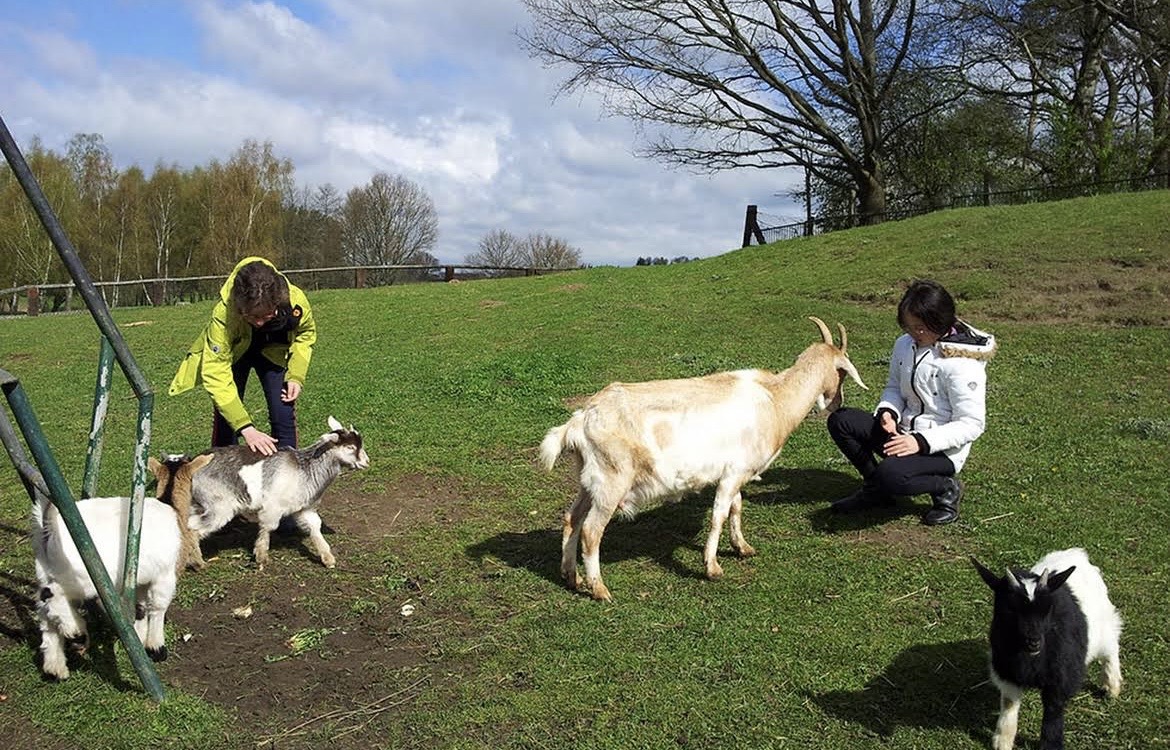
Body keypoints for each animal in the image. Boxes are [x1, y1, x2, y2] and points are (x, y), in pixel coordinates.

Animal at [32, 454, 211, 680]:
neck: (172, 507)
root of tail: (49, 527)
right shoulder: (166, 575)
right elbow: (158, 607)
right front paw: (156, 648)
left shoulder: (141, 577)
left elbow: (141, 608)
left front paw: (140, 639)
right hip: (82, 576)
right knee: (53, 595)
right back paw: (75, 631)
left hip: (44, 570)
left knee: (44, 611)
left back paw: (55, 666)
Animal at [183, 416, 369, 571]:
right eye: (350, 447)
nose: (366, 462)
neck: (305, 469)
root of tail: (191, 466)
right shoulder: (273, 506)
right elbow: (268, 527)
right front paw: (261, 556)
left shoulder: (305, 508)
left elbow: (315, 526)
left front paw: (328, 558)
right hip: (219, 505)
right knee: (194, 529)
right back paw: (198, 563)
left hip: (198, 503)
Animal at [540, 317, 867, 601]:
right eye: (841, 371)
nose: (836, 402)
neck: (775, 398)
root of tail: (579, 421)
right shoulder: (734, 473)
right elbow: (719, 514)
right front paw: (712, 567)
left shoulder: (733, 472)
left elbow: (736, 507)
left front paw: (742, 547)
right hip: (612, 481)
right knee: (591, 531)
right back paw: (599, 589)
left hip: (589, 480)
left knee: (572, 519)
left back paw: (571, 577)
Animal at [972, 548, 1122, 750]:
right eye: (1009, 609)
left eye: (1048, 608)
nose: (1034, 642)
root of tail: (1077, 553)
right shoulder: (1007, 673)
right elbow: (1009, 704)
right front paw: (1002, 740)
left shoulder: (1061, 677)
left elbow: (1053, 710)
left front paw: (1051, 744)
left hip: (1103, 627)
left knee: (1111, 646)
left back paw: (1111, 685)